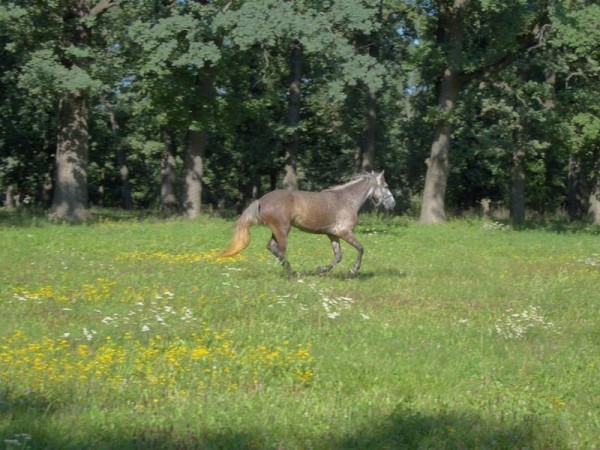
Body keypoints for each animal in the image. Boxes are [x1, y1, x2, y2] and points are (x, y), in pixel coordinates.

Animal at [218, 172, 396, 278]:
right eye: (386, 186)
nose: (393, 204)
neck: (347, 201)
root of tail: (261, 200)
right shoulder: (345, 232)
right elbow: (360, 248)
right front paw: (353, 270)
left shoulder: (333, 234)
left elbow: (338, 256)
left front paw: (321, 270)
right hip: (283, 230)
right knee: (280, 251)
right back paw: (291, 274)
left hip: (277, 231)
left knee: (272, 247)